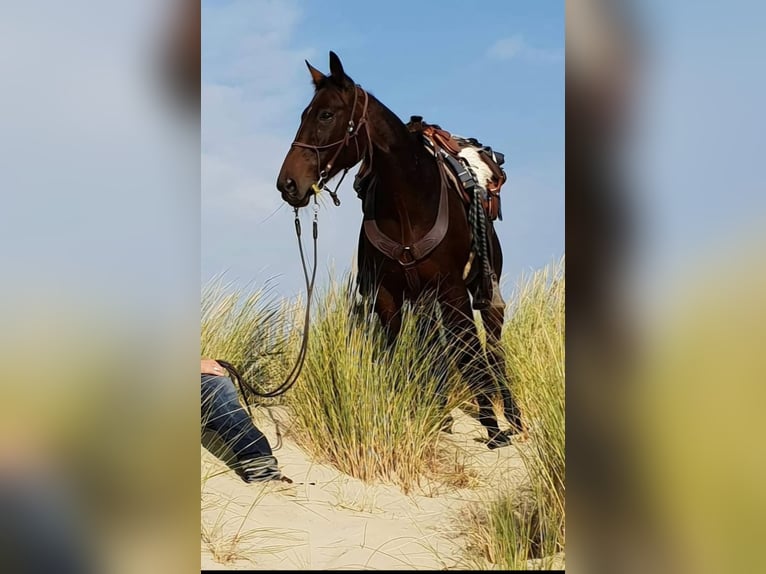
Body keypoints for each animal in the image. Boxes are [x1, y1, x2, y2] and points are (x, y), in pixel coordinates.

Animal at [276, 51, 520, 450]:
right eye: (303, 115)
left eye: (326, 115)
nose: (288, 184)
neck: (409, 205)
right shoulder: (388, 296)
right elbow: (395, 357)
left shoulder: (453, 292)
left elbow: (469, 352)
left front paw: (493, 429)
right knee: (433, 345)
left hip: (482, 291)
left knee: (491, 347)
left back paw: (511, 418)